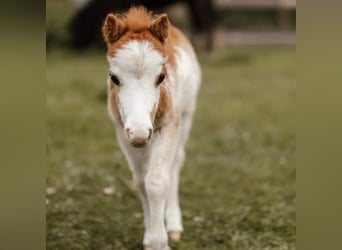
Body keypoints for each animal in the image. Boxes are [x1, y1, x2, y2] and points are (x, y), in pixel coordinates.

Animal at [103, 6, 202, 250]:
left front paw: (160, 241)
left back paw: (174, 225)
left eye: (161, 76)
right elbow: (140, 182)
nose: (140, 133)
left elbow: (156, 182)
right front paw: (149, 237)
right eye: (114, 78)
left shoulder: (169, 124)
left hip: (186, 117)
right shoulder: (123, 132)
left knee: (175, 164)